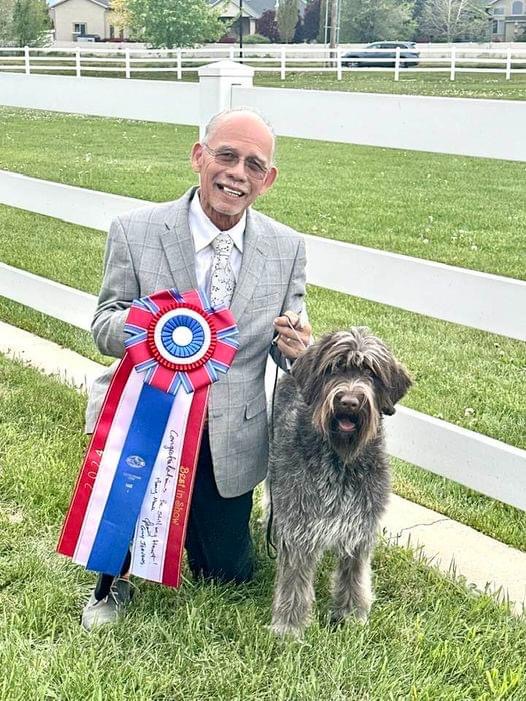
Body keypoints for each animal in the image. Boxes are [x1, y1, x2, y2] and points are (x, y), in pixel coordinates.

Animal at [267, 327, 411, 637]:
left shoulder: (360, 526)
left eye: (371, 372)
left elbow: (354, 576)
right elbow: (294, 582)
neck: (341, 460)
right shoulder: (300, 526)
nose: (349, 402)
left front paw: (351, 615)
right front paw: (289, 627)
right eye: (334, 368)